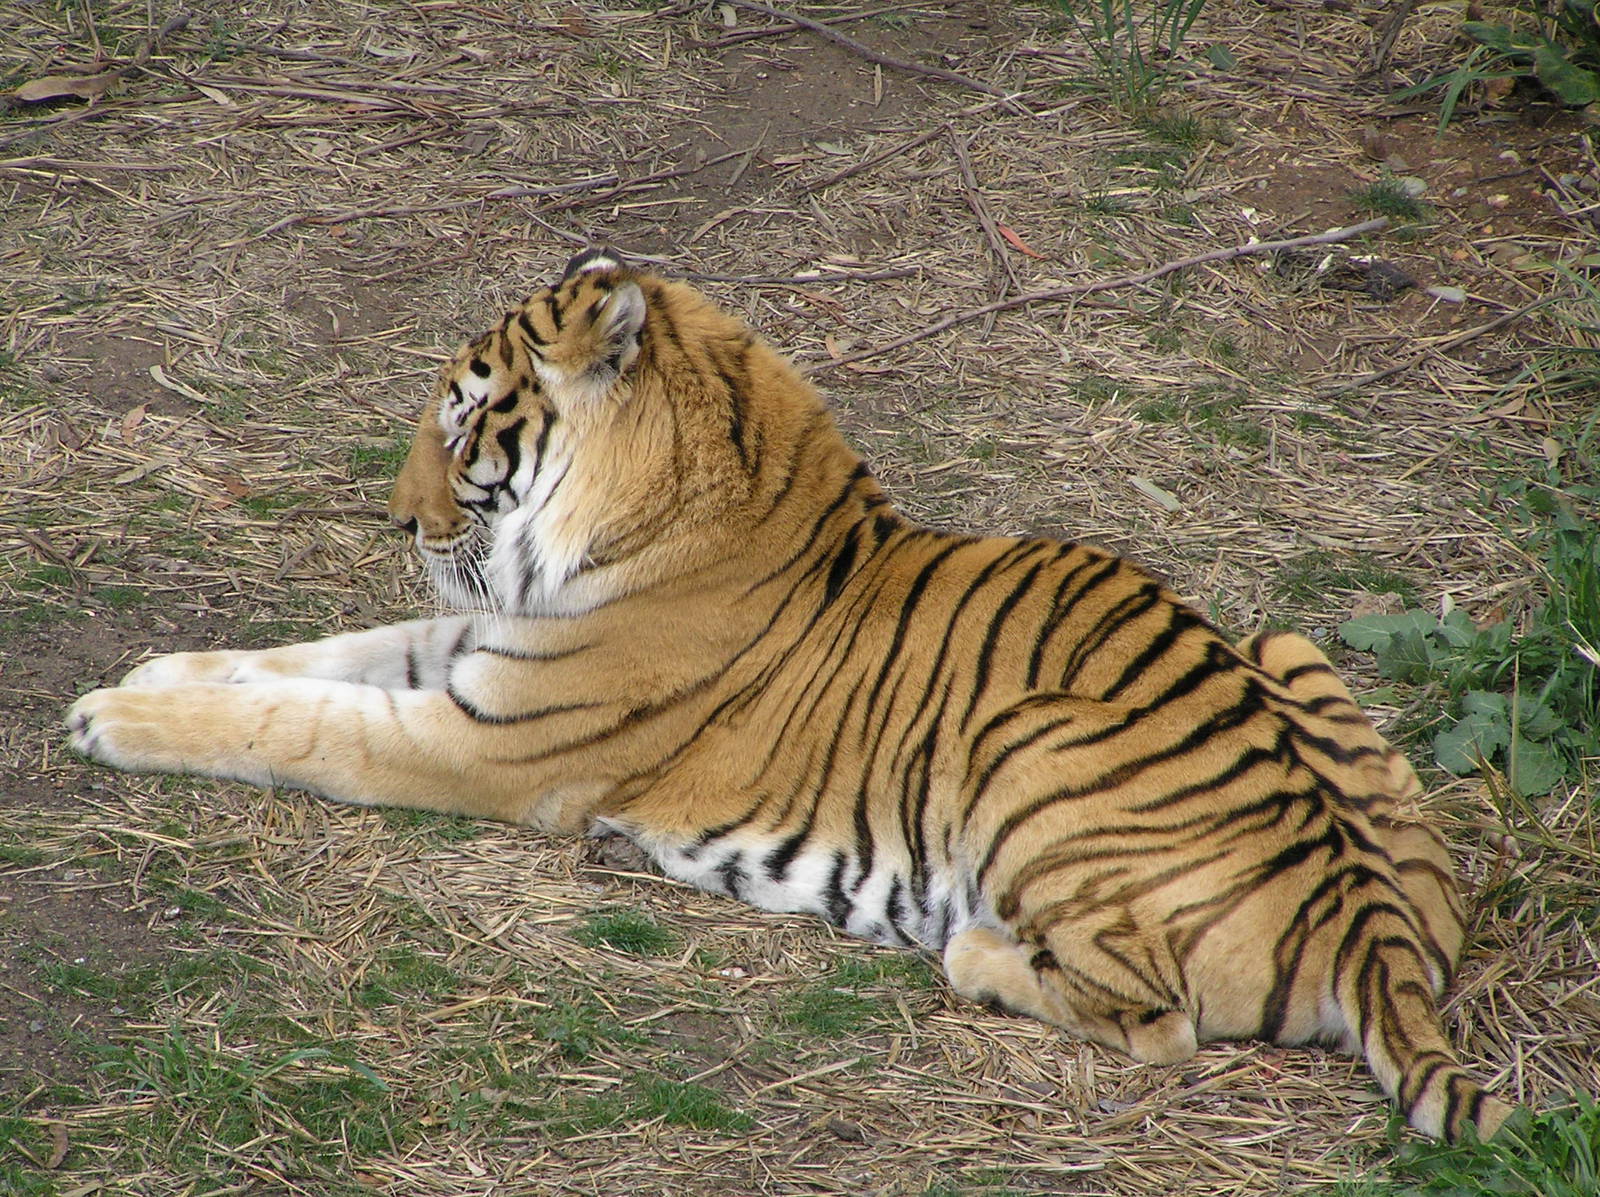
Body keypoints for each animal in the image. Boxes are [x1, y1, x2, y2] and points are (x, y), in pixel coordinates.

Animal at [67, 247, 1509, 1142]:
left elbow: (302, 719)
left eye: (468, 421)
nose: (398, 516)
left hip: (1030, 748)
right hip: (1290, 647)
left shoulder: (494, 741)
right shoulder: (477, 649)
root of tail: (1374, 925)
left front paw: (110, 716)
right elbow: (315, 655)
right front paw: (152, 672)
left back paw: (971, 950)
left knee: (1158, 1025)